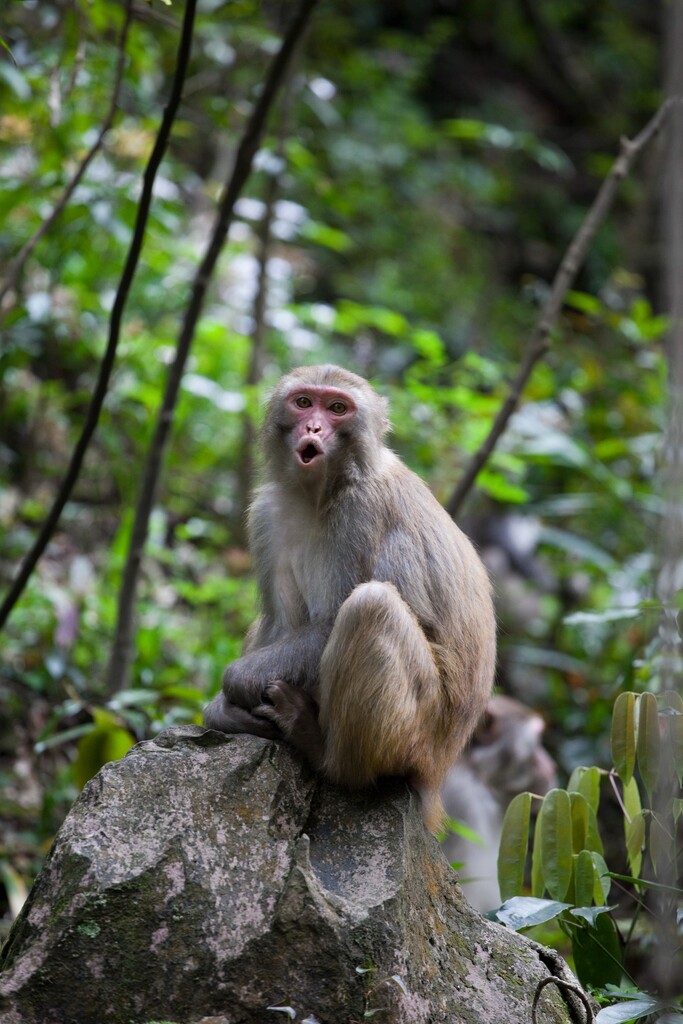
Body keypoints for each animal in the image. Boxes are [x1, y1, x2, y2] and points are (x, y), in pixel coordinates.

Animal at [202, 364, 497, 827]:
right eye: (304, 402)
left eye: (338, 408)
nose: (314, 427)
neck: (320, 491)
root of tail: (440, 768)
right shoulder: (268, 513)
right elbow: (280, 624)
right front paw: (223, 710)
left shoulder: (361, 512)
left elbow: (330, 622)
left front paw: (234, 685)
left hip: (419, 732)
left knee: (370, 606)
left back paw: (324, 752)